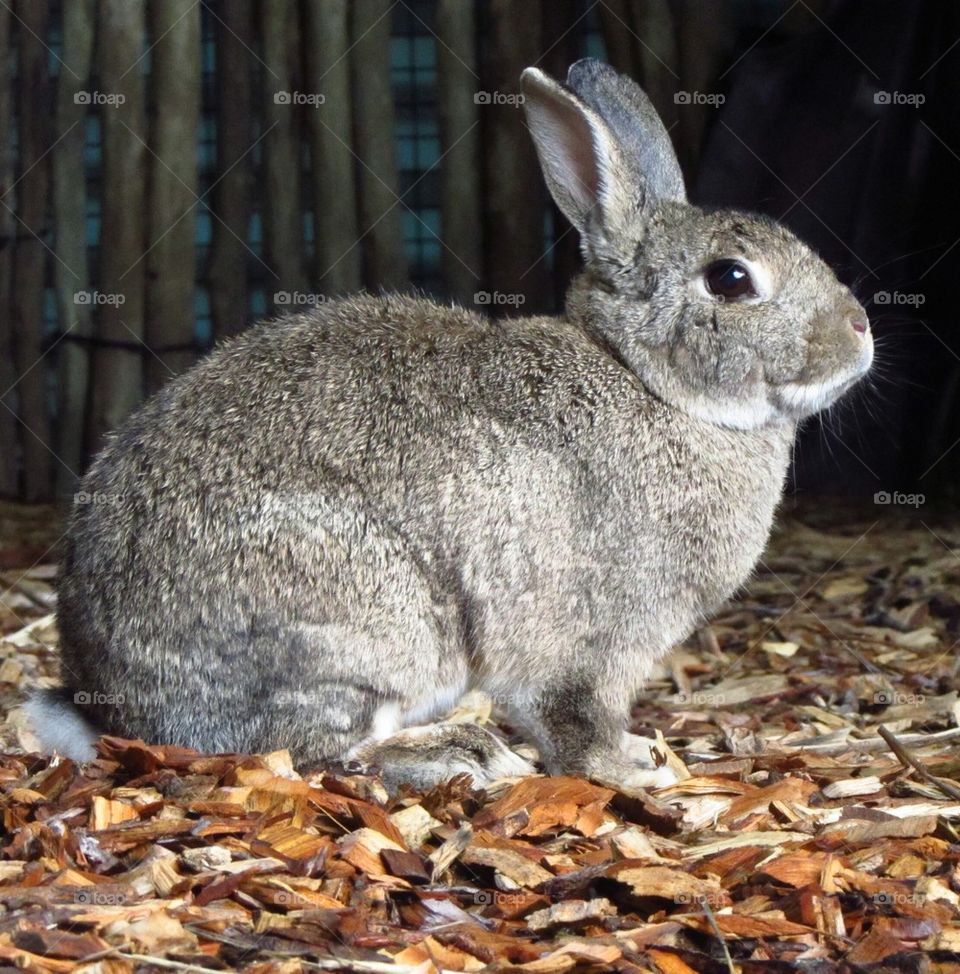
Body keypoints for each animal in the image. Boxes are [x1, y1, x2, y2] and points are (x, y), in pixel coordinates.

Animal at [28, 59, 872, 792]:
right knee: (314, 750)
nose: (862, 330)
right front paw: (632, 770)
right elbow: (577, 718)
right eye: (731, 279)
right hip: (370, 623)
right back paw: (462, 755)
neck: (653, 386)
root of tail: (107, 704)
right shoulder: (590, 643)